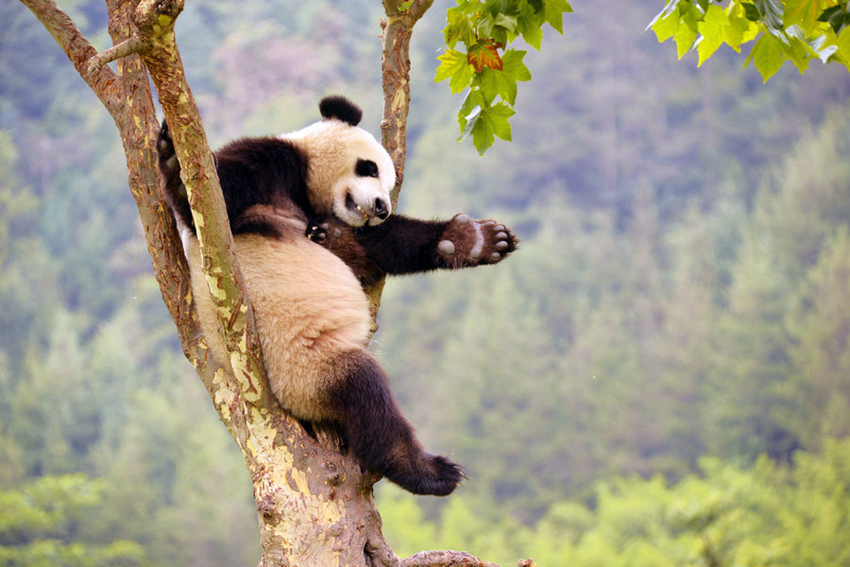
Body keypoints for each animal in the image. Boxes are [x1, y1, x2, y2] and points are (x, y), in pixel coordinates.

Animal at [157, 95, 516, 494]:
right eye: (369, 167)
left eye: (390, 184)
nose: (381, 207)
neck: (306, 190)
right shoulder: (269, 167)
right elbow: (206, 199)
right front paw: (172, 158)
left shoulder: (345, 224)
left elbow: (383, 244)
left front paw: (475, 241)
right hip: (304, 368)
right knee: (366, 393)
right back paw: (426, 471)